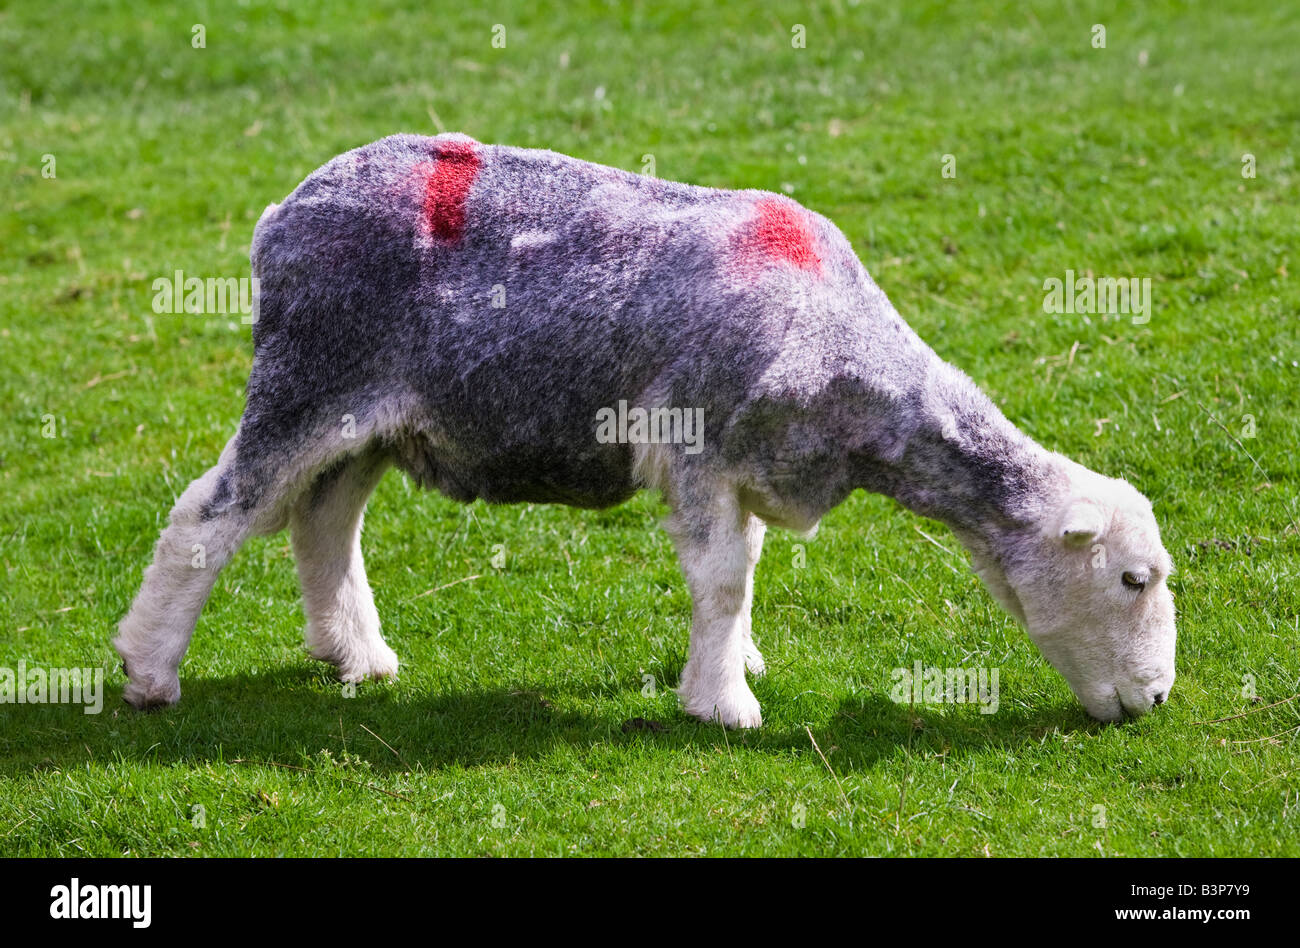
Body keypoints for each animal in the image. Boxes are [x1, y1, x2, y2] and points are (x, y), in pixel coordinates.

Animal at [116, 131, 1180, 723]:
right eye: (1133, 580)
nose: (1158, 699)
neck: (850, 365)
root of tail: (285, 211)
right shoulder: (701, 444)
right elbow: (724, 577)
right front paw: (723, 705)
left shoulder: (751, 468)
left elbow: (744, 573)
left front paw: (733, 661)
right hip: (309, 375)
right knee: (208, 515)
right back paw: (148, 671)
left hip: (368, 419)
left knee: (323, 522)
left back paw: (358, 658)